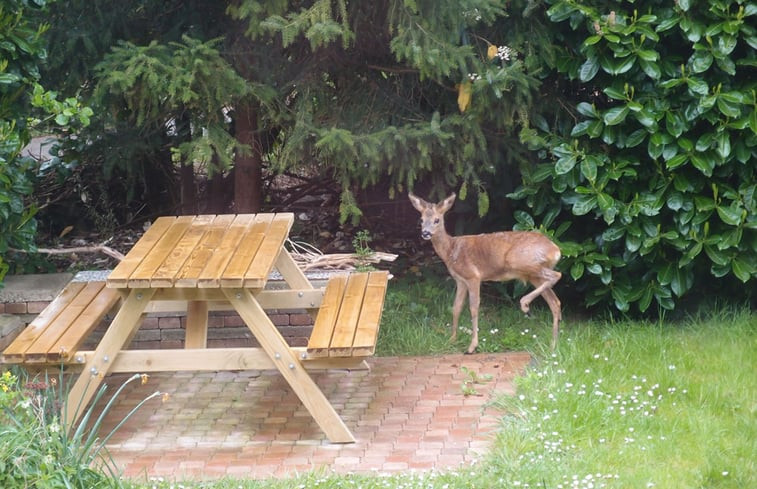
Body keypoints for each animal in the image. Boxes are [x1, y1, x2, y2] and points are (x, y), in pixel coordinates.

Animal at [408, 193, 560, 352]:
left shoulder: (473, 276)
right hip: (533, 275)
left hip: (521, 262)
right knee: (555, 302)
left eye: (437, 220)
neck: (451, 250)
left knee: (557, 276)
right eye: (421, 220)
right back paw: (553, 345)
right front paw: (452, 339)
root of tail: (555, 250)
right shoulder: (460, 280)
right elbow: (456, 307)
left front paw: (472, 347)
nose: (425, 233)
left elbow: (474, 308)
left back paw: (525, 305)